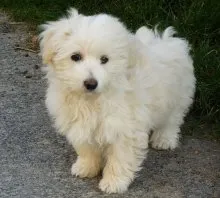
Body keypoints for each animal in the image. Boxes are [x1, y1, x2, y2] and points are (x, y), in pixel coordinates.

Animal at [39, 8, 196, 194]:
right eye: (75, 57)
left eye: (105, 59)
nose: (91, 83)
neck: (93, 99)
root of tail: (167, 40)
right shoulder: (80, 122)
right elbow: (86, 147)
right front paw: (86, 167)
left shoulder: (126, 128)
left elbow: (121, 157)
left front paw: (114, 182)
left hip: (179, 95)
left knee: (173, 119)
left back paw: (164, 139)